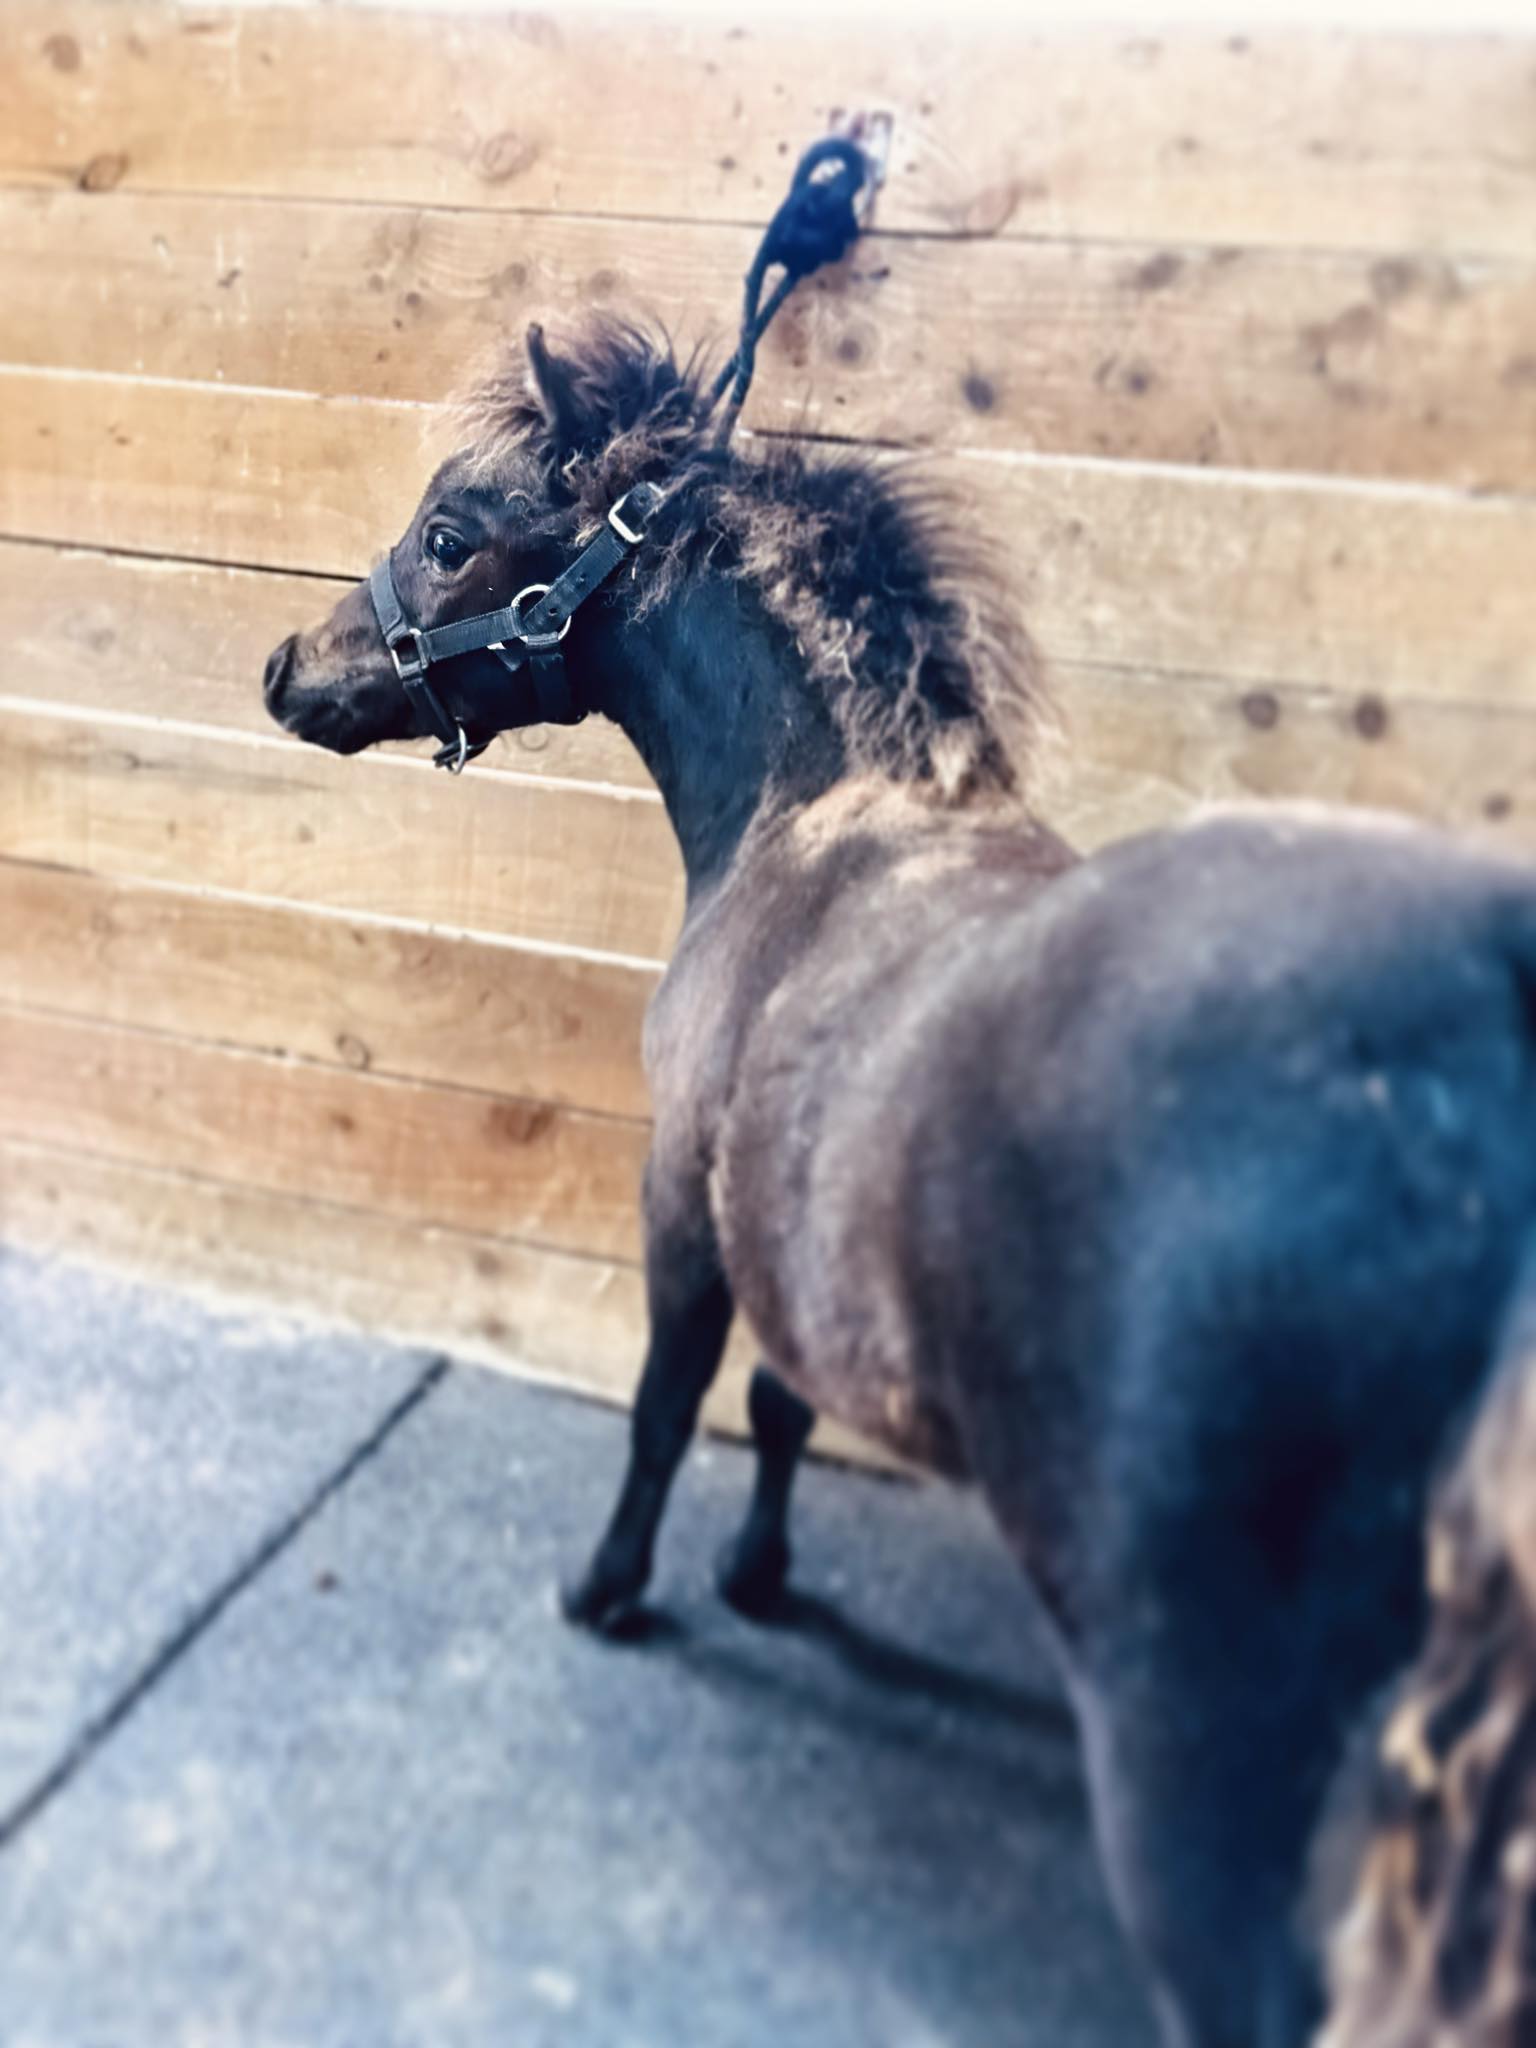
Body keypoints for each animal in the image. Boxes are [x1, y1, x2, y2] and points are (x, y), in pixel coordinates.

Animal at [264, 316, 1536, 2048]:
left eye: (455, 531)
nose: (288, 668)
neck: (819, 816)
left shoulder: (682, 1203)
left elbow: (671, 1407)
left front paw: (613, 1589)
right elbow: (786, 1403)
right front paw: (760, 1575)